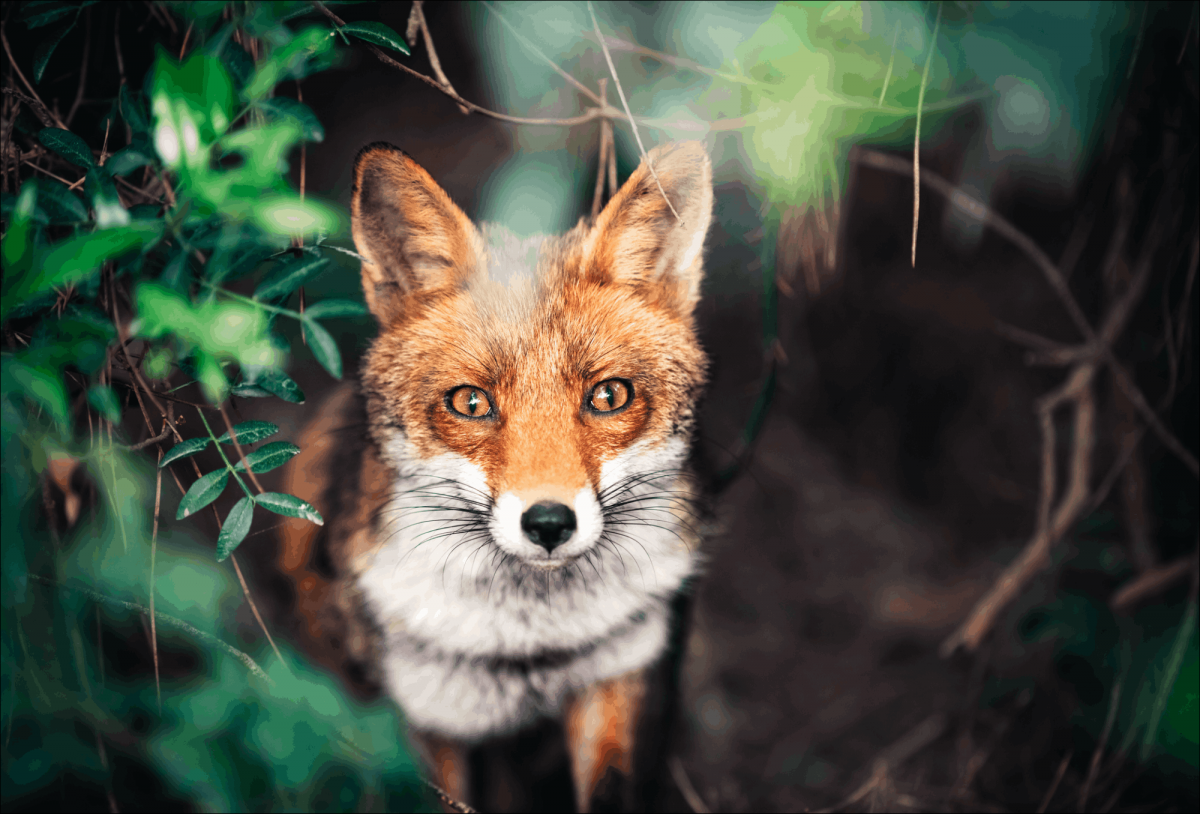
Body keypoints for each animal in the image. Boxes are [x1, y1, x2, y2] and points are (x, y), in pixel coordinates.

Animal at [277, 139, 714, 812]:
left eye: (609, 396)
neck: (529, 645)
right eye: (471, 402)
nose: (549, 522)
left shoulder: (618, 678)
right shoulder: (430, 719)